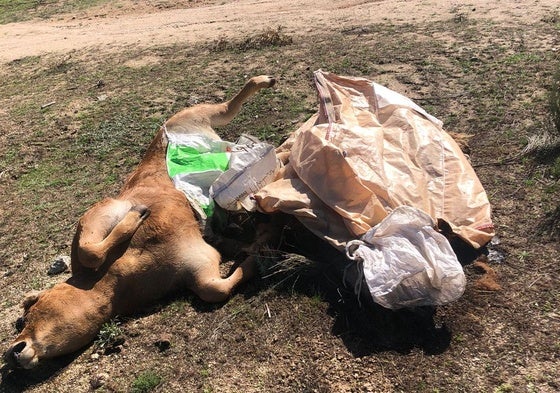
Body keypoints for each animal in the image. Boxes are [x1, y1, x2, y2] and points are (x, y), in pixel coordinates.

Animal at [3, 74, 276, 368]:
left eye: (24, 318)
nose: (13, 351)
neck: (119, 277)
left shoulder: (100, 212)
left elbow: (90, 250)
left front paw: (138, 215)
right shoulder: (199, 263)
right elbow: (215, 286)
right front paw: (257, 249)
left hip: (198, 114)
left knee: (229, 104)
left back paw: (264, 80)